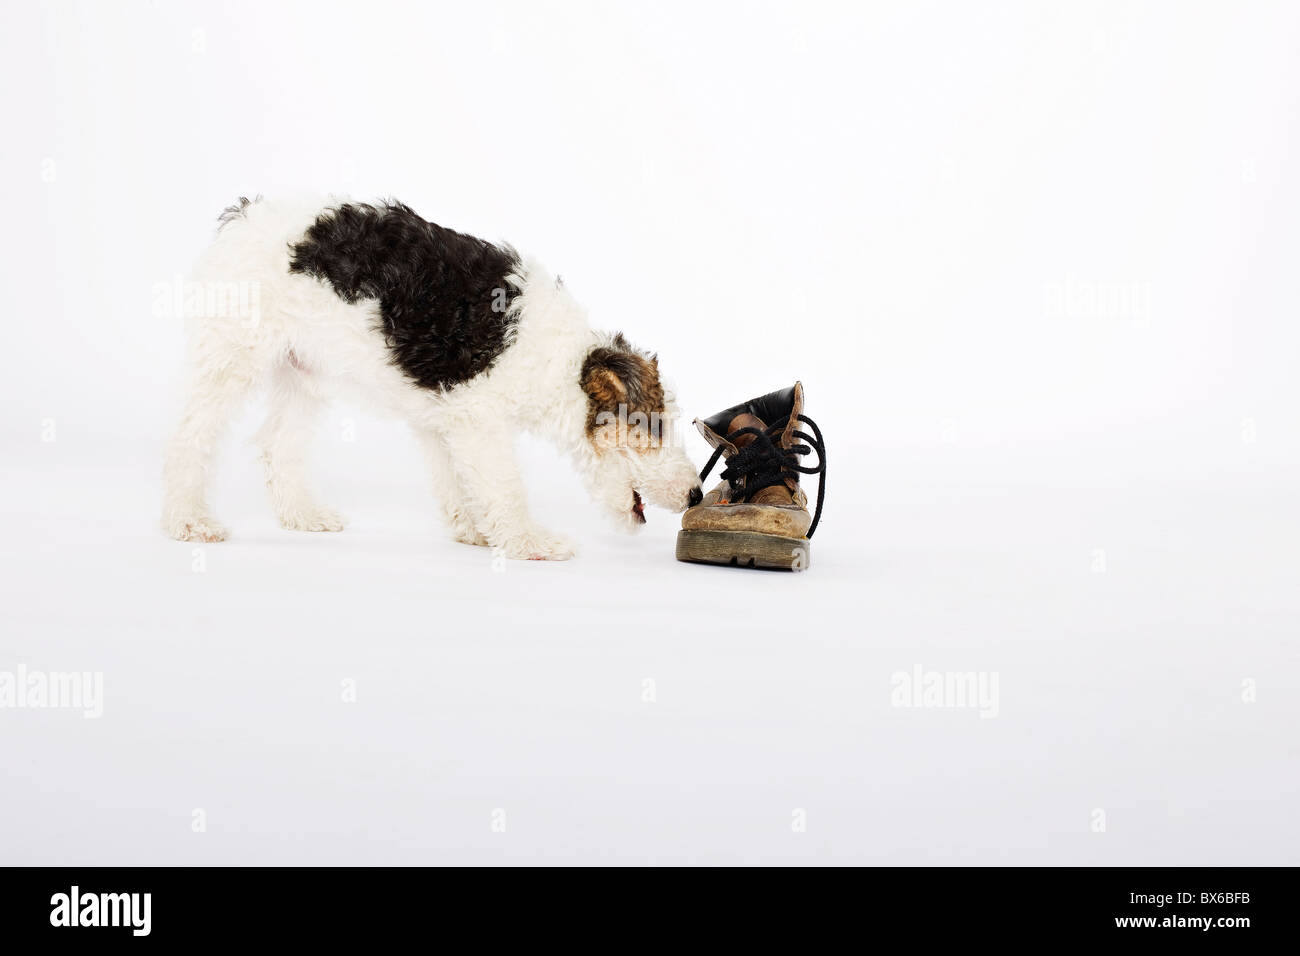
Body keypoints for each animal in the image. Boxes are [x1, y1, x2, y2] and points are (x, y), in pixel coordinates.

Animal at [162, 201, 702, 561]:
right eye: (653, 425)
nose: (695, 495)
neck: (557, 357)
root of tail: (243, 217)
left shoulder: (445, 418)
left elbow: (456, 481)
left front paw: (476, 531)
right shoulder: (477, 418)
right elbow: (504, 486)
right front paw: (528, 542)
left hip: (303, 373)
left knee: (278, 446)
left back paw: (304, 516)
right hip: (230, 358)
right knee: (189, 439)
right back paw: (187, 522)